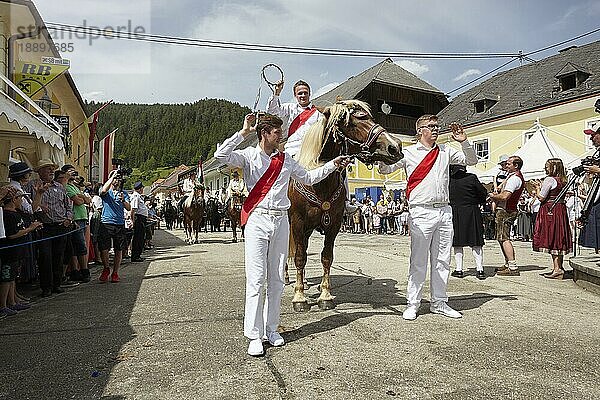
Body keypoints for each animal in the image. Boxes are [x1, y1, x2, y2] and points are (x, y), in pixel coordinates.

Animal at [290, 98, 404, 310]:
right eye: (352, 123)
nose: (395, 146)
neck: (318, 180)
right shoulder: (297, 223)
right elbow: (300, 257)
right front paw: (299, 297)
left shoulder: (333, 224)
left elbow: (326, 257)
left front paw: (325, 295)